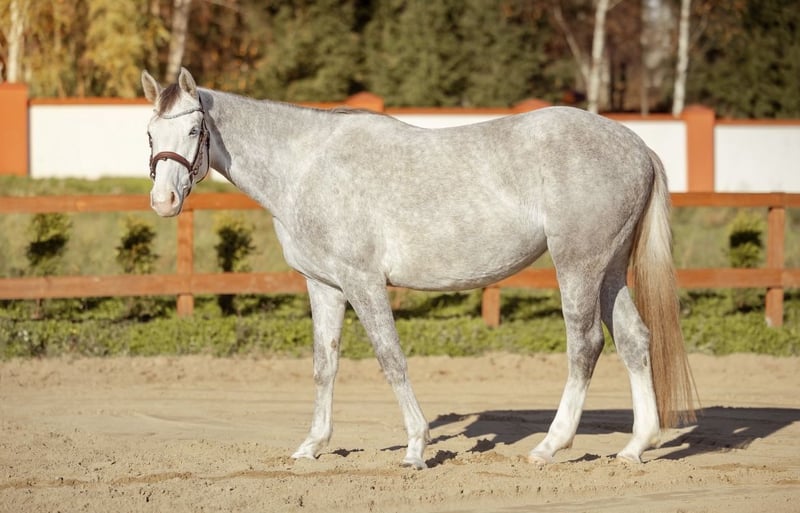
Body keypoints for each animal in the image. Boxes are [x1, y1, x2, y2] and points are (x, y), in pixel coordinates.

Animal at [141, 68, 696, 469]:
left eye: (194, 128)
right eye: (149, 133)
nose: (163, 202)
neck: (306, 166)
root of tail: (636, 146)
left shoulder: (363, 282)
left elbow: (391, 359)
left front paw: (415, 447)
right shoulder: (324, 286)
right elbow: (325, 365)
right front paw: (312, 446)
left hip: (577, 265)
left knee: (585, 345)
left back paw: (548, 447)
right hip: (610, 270)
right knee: (634, 340)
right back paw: (635, 448)